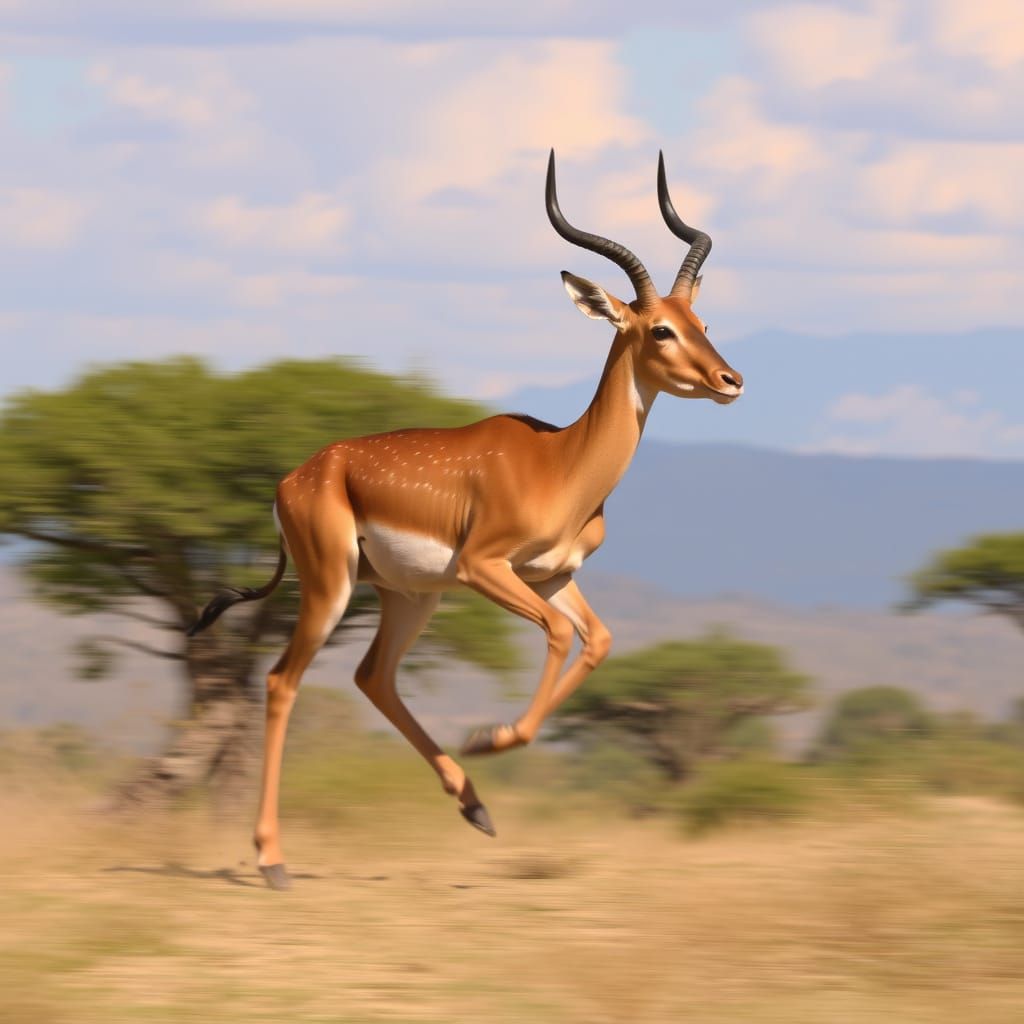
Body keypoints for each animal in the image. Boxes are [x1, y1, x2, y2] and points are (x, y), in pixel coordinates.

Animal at [189, 151, 743, 889]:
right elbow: (558, 638)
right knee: (283, 680)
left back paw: (474, 808)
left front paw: (487, 749)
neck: (560, 462)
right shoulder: (486, 568)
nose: (730, 380)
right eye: (660, 328)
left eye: (702, 321)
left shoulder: (552, 577)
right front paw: (492, 737)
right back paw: (273, 860)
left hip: (409, 595)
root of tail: (294, 479)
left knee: (373, 677)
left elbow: (596, 641)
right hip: (333, 586)